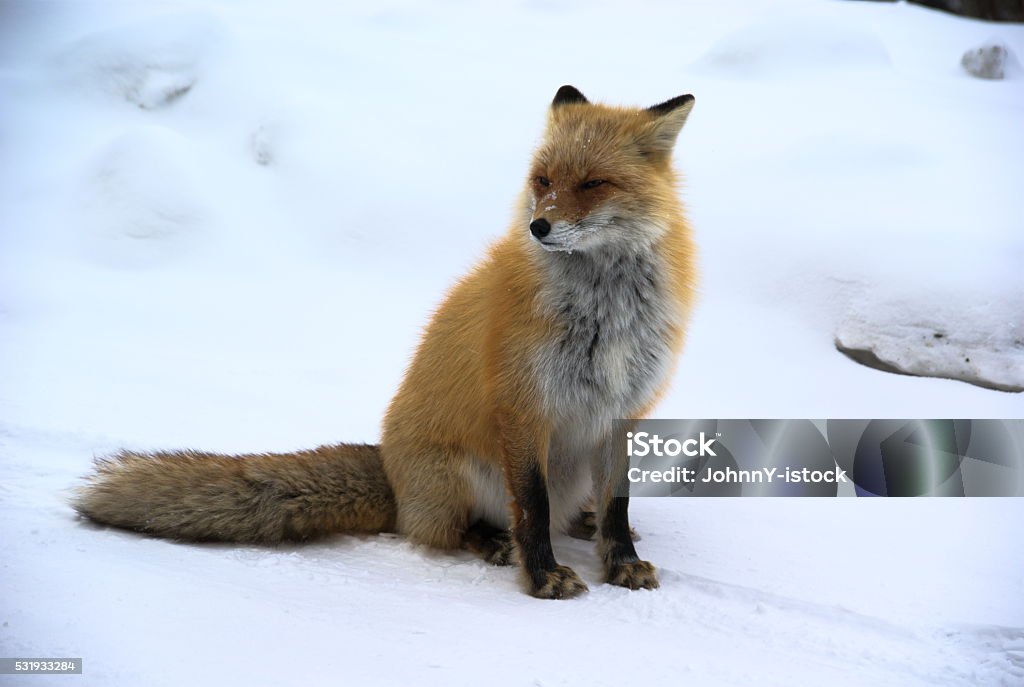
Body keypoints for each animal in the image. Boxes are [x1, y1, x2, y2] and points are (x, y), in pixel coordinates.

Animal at [72, 86, 696, 597]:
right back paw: (492, 540)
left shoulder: (623, 407)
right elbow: (533, 510)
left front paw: (621, 562)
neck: (604, 312)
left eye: (593, 184)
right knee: (450, 529)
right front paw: (542, 577)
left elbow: (617, 505)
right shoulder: (525, 407)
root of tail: (392, 472)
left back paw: (581, 520)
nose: (538, 227)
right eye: (542, 181)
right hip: (462, 478)